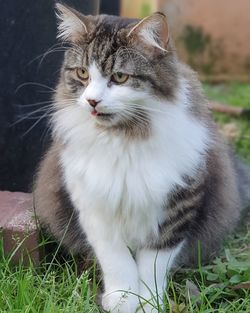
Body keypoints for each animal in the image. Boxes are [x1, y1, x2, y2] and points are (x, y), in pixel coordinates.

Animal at [33, 3, 250, 312]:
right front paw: (122, 299)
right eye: (83, 73)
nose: (92, 101)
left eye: (120, 77)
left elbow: (153, 265)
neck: (126, 138)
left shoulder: (177, 207)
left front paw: (149, 302)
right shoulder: (93, 206)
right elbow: (117, 260)